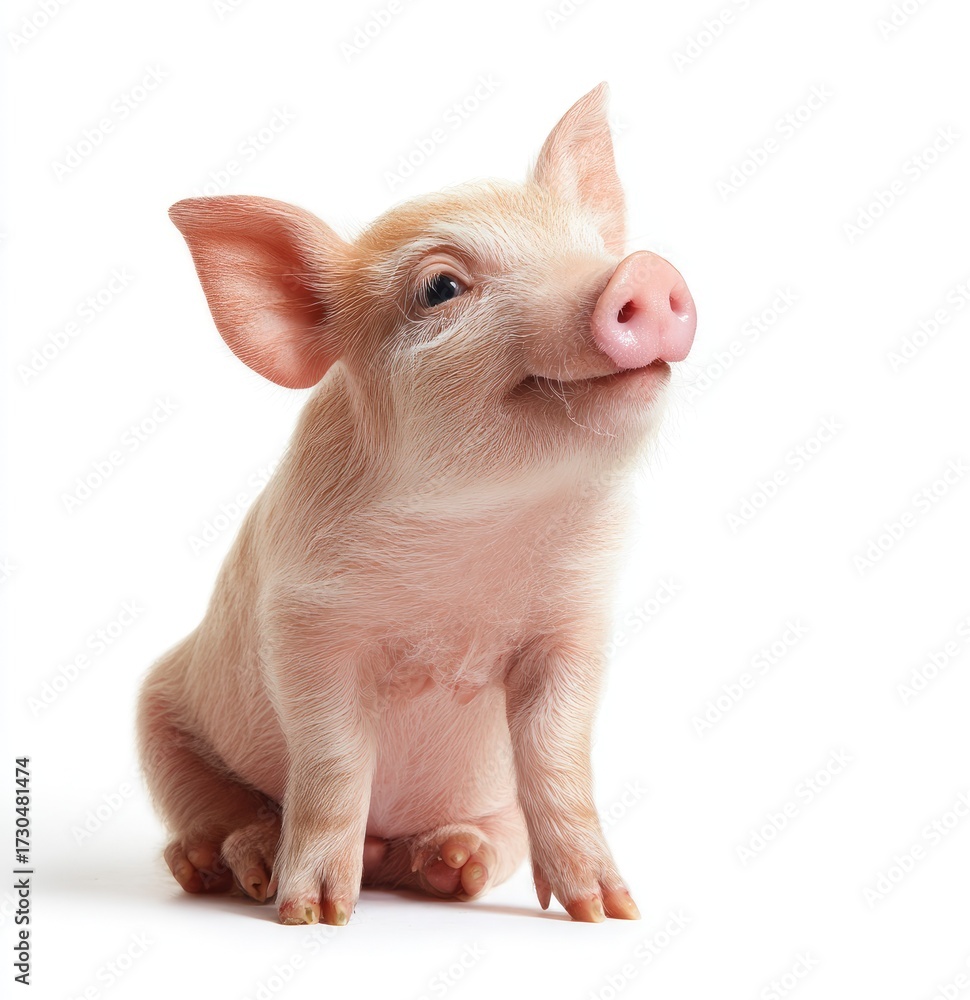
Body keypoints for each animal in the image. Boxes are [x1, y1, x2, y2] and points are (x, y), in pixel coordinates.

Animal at [136, 82, 696, 926]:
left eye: (593, 247)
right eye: (440, 288)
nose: (644, 273)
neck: (476, 538)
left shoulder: (575, 629)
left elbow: (559, 759)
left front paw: (610, 911)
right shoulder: (303, 623)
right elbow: (333, 761)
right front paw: (312, 914)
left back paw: (452, 864)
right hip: (158, 715)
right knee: (216, 812)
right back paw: (237, 866)